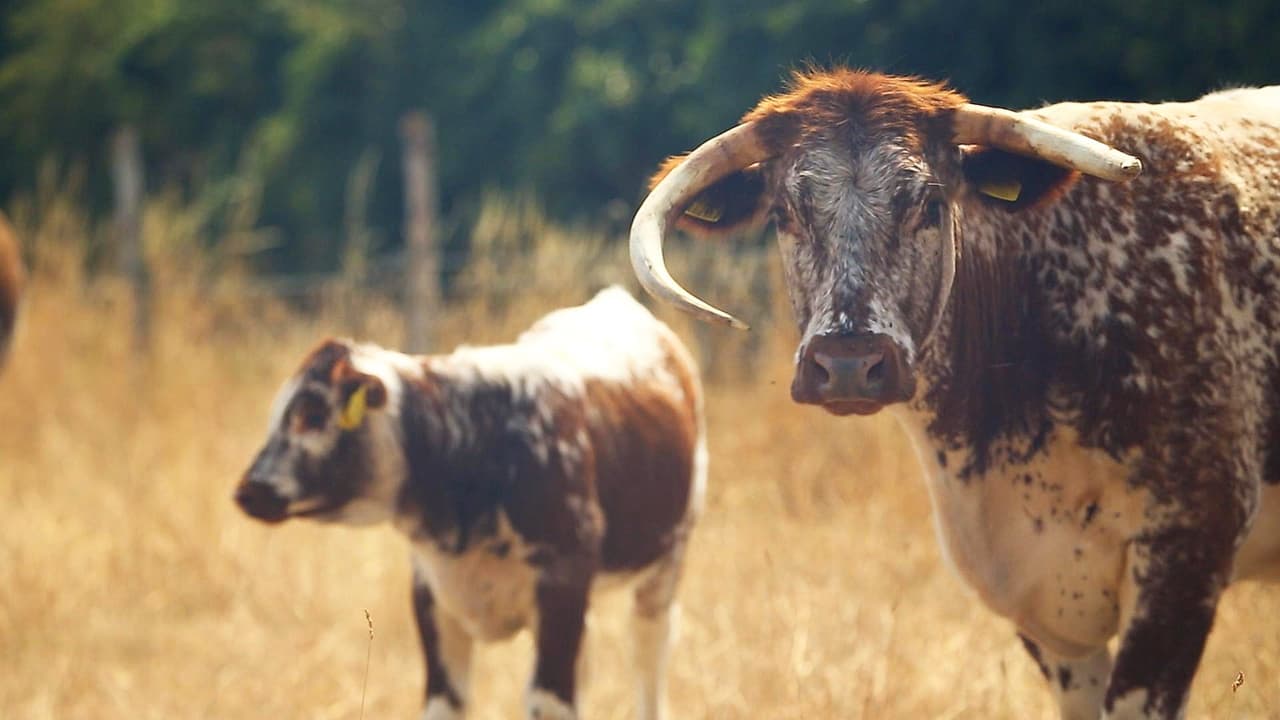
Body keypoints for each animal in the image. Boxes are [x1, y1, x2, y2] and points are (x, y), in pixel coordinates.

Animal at [235, 286, 706, 717]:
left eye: (311, 416)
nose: (248, 490)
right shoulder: (431, 596)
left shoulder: (562, 587)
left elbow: (549, 701)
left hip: (666, 567)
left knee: (649, 656)